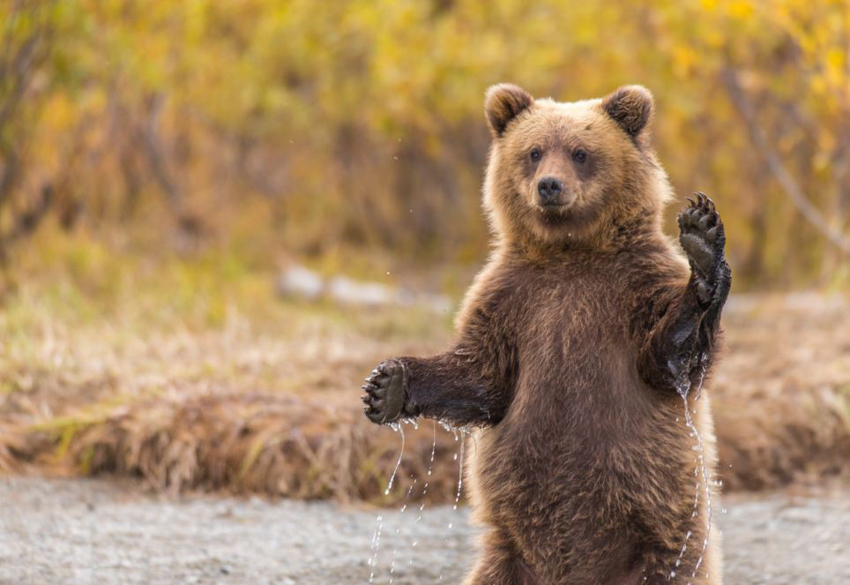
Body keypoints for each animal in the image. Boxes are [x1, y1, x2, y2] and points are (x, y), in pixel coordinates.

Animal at [360, 83, 728, 584]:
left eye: (580, 152)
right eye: (533, 152)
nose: (549, 185)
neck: (569, 252)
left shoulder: (635, 286)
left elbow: (671, 362)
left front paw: (704, 243)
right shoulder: (512, 300)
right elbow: (483, 377)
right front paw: (387, 386)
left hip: (666, 548)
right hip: (508, 557)